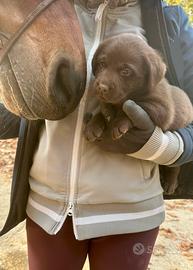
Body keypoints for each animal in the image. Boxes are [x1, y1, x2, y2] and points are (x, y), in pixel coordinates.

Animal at [85, 33, 193, 194]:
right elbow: (103, 112)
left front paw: (118, 124)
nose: (101, 87)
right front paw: (94, 125)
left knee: (174, 167)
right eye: (102, 64)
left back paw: (170, 182)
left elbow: (136, 107)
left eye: (126, 71)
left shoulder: (162, 109)